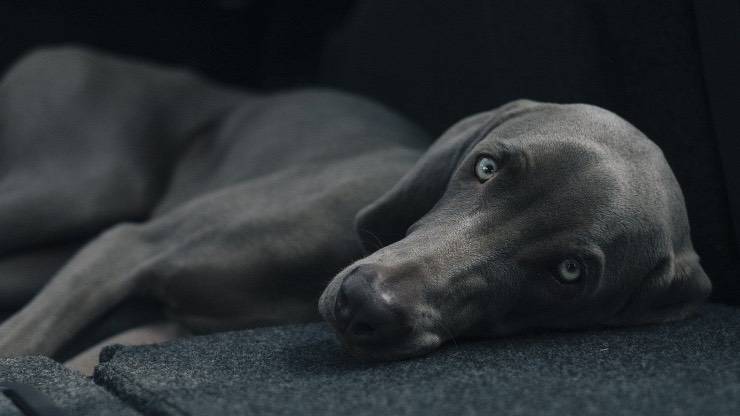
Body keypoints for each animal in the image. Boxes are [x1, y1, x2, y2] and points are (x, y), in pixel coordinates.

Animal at [0, 46, 712, 374]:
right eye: (486, 167)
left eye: (570, 273)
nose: (362, 304)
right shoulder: (128, 245)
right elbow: (21, 342)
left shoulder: (163, 328)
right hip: (76, 186)